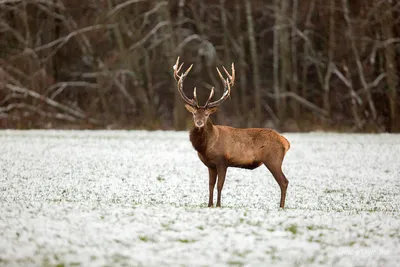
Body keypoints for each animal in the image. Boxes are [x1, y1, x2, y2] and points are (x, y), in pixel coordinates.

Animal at [173, 58, 290, 209]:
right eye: (194, 114)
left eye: (206, 114)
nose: (199, 123)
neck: (207, 147)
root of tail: (285, 142)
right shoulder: (210, 165)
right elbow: (210, 185)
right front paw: (209, 204)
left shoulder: (222, 161)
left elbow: (219, 186)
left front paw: (218, 205)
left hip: (273, 159)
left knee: (284, 181)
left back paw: (281, 207)